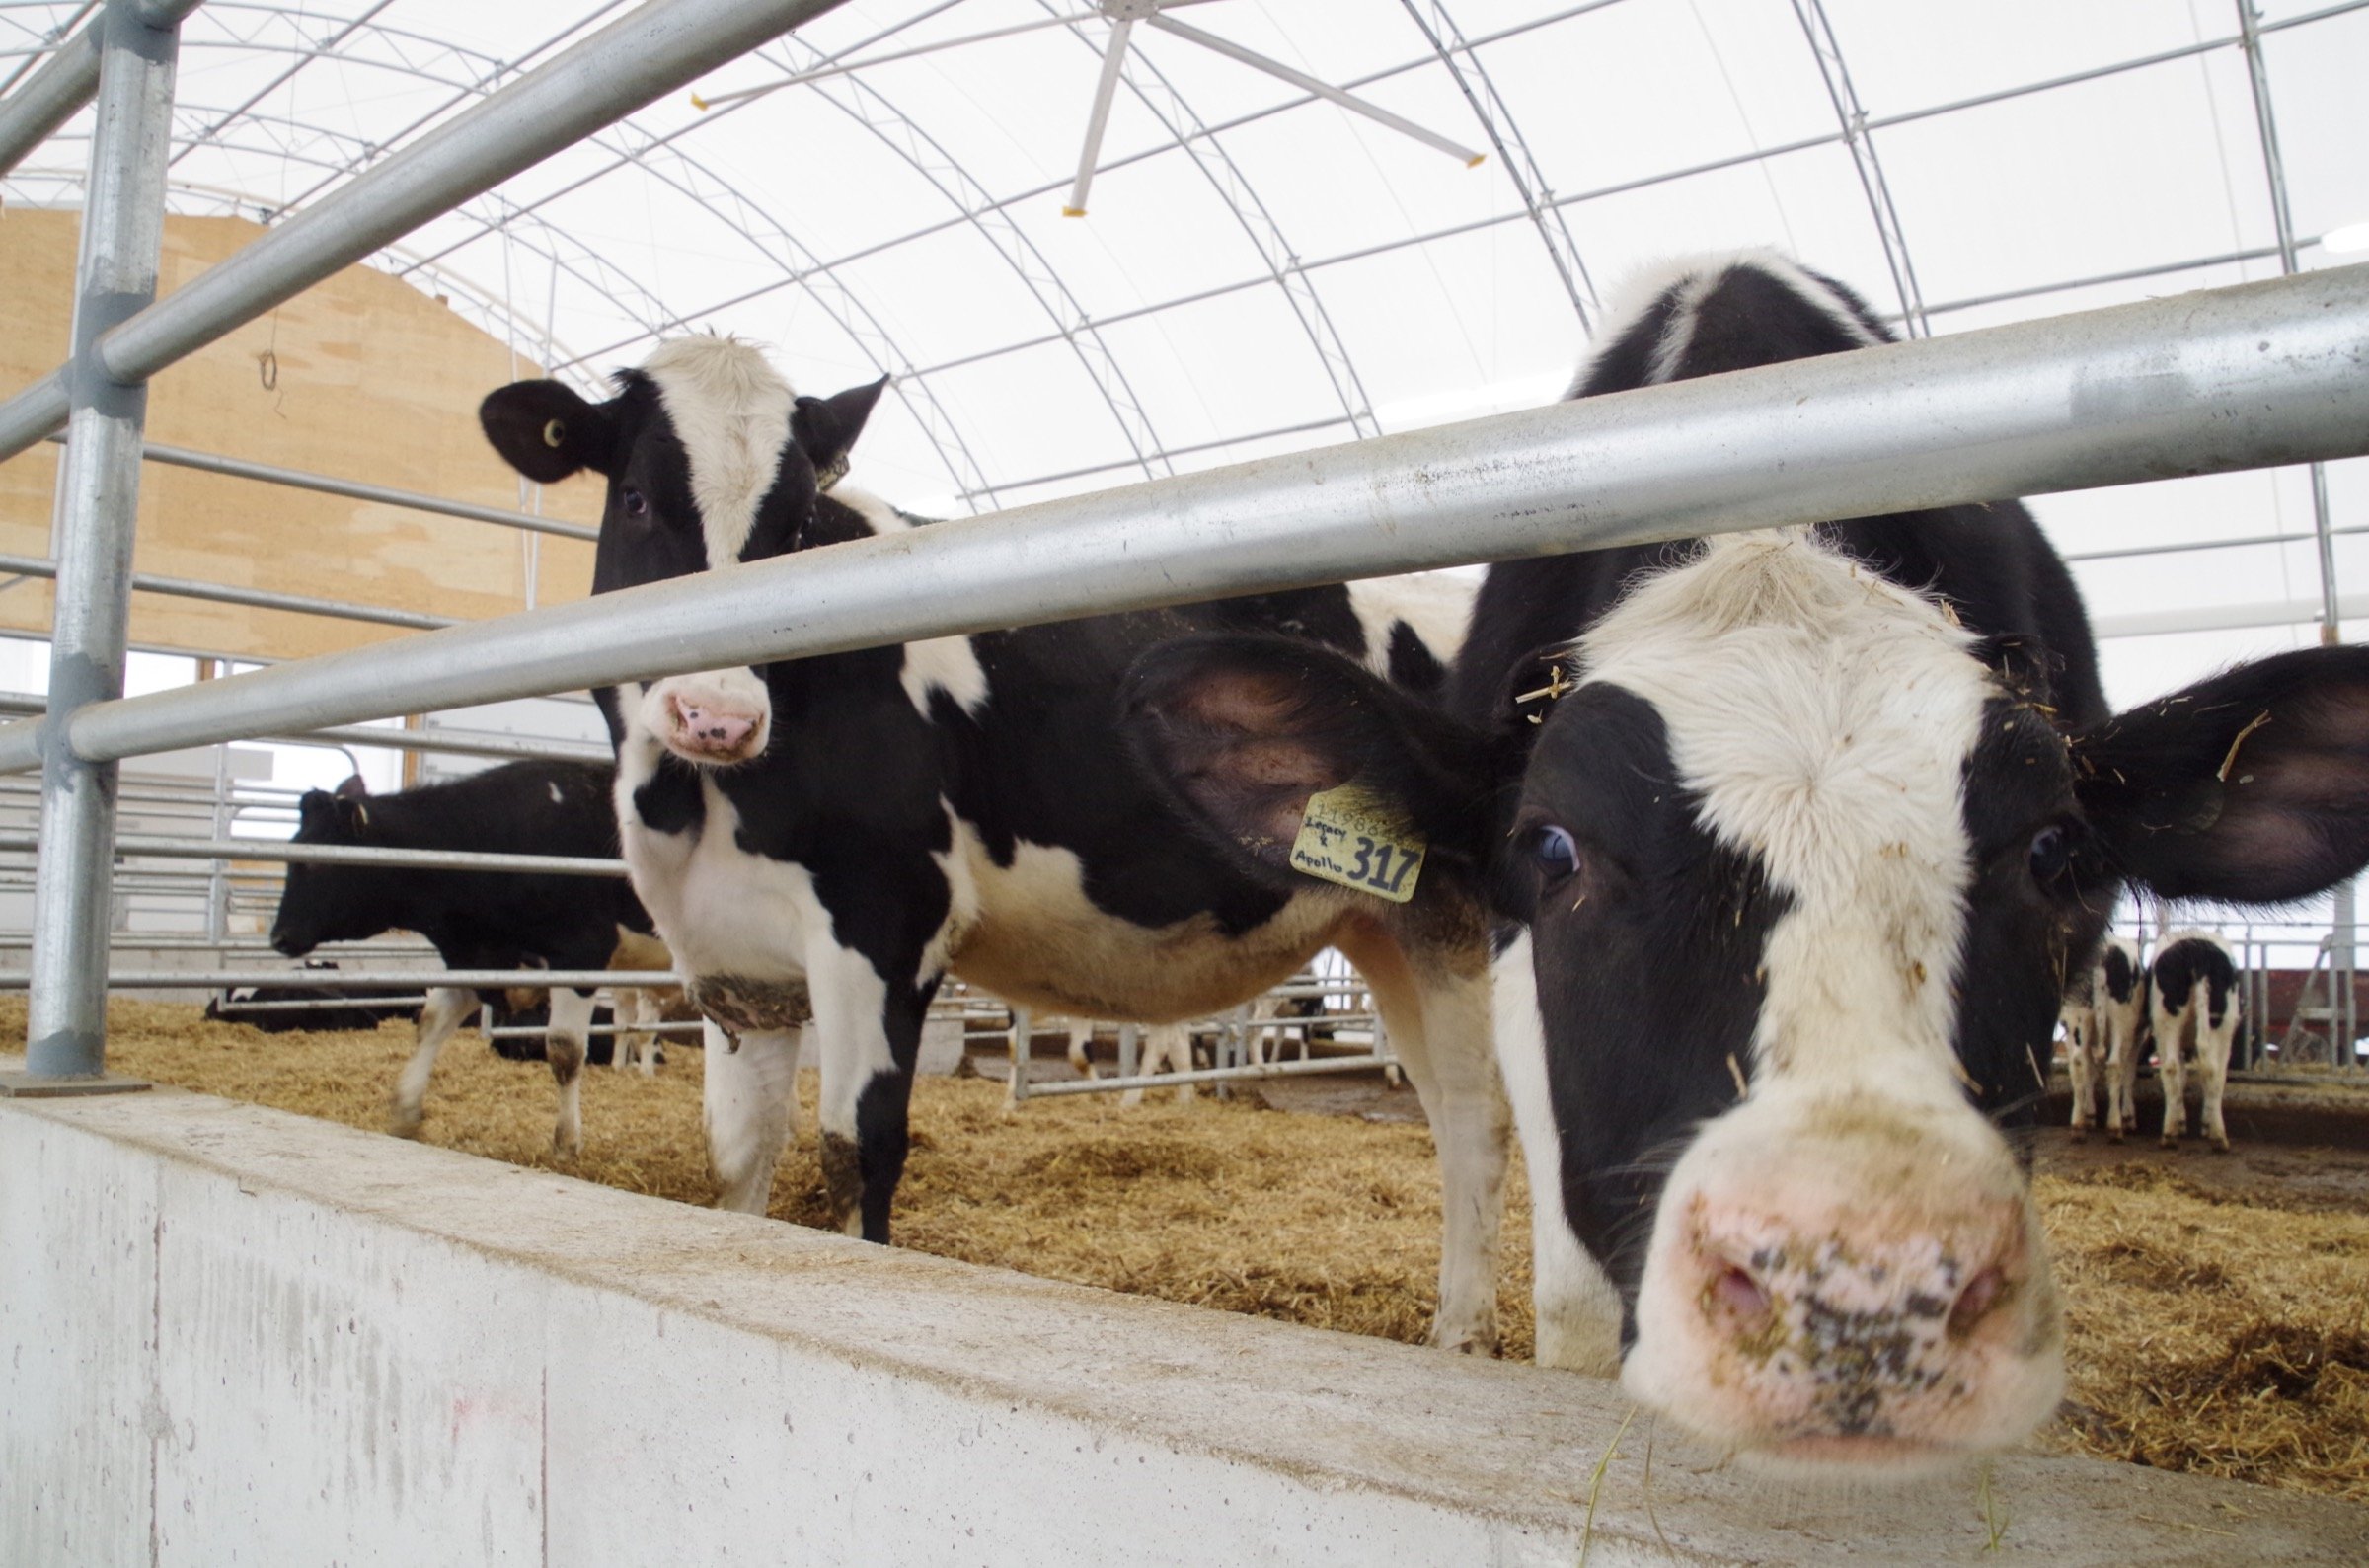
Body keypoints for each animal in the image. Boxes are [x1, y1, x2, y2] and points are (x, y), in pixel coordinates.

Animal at [266, 760, 672, 1154]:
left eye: (317, 863)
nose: (279, 937)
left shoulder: (579, 954)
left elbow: (565, 1050)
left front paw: (566, 1143)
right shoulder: (478, 958)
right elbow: (431, 1024)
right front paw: (405, 1113)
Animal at [476, 341, 1509, 1353]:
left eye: (796, 526)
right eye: (635, 496)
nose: (718, 715)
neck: (690, 802)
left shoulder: (888, 920)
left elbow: (859, 1150)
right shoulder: (736, 963)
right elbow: (737, 1156)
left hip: (1474, 927)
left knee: (1485, 1123)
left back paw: (1470, 1345)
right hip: (1392, 929)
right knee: (1451, 1119)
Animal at [2091, 935, 2150, 1140]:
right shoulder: (2136, 1036)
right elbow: (2128, 1072)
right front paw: (2128, 1116)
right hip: (2120, 1021)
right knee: (2115, 1064)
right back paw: (2115, 1125)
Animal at [2150, 931, 2242, 1152]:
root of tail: (2197, 952)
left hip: (2169, 1020)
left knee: (2172, 1067)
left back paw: (2170, 1133)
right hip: (2222, 1025)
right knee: (2213, 1070)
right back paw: (2217, 1136)